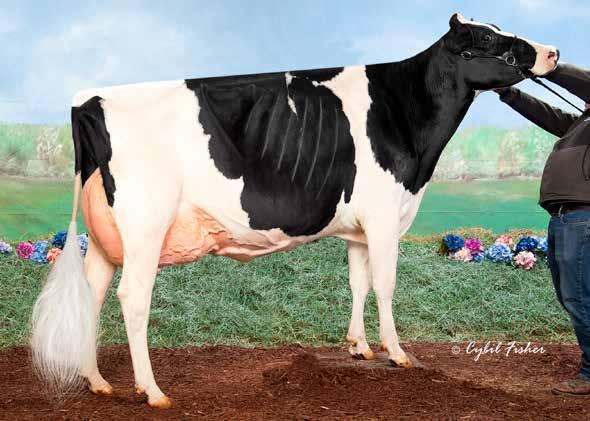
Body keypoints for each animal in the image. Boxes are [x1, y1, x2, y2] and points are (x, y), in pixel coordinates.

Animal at [30, 13, 558, 408]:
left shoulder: (359, 227)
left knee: (93, 295)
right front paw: (397, 353)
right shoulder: (385, 216)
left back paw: (97, 381)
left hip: (106, 236)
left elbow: (358, 282)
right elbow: (385, 285)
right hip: (145, 225)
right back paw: (152, 390)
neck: (405, 115)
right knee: (132, 299)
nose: (552, 52)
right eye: (487, 39)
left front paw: (359, 346)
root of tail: (92, 98)